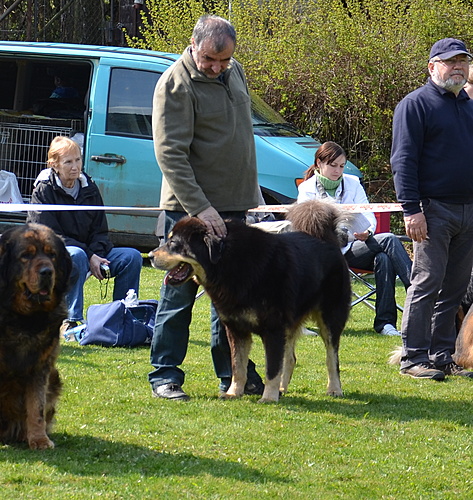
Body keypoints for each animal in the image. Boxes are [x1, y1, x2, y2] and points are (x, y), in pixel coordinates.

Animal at [0, 223, 71, 450]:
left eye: (52, 255)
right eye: (26, 256)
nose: (47, 272)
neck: (25, 318)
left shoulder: (41, 366)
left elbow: (37, 406)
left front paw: (39, 439)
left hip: (55, 378)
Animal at [148, 200, 350, 402]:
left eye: (173, 243)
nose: (150, 256)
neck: (230, 264)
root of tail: (327, 239)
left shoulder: (273, 329)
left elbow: (272, 369)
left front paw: (268, 397)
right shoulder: (236, 328)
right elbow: (238, 366)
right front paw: (233, 392)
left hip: (329, 319)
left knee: (331, 358)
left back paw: (334, 389)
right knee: (291, 358)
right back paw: (282, 389)